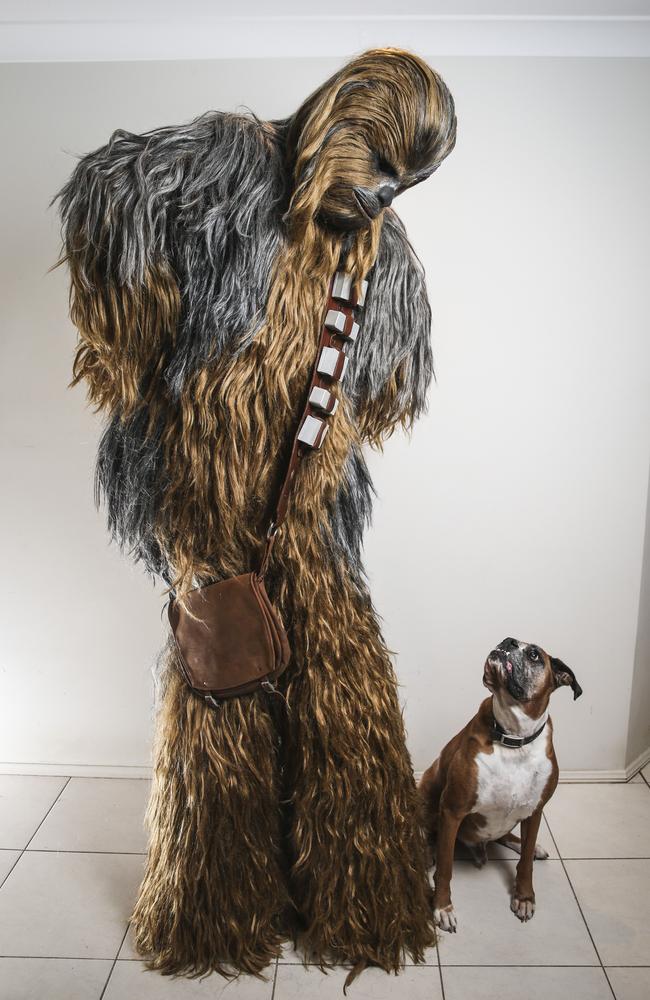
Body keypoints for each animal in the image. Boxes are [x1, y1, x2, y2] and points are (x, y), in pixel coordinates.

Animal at [418, 636, 580, 932]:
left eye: (534, 654)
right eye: (509, 640)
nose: (508, 641)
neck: (513, 738)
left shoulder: (535, 810)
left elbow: (525, 862)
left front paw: (524, 897)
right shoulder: (452, 810)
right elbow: (445, 868)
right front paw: (442, 907)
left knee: (512, 839)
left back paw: (532, 847)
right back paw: (427, 853)